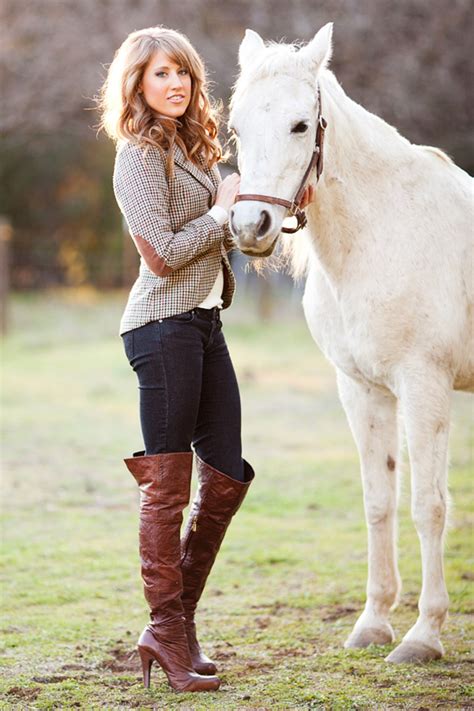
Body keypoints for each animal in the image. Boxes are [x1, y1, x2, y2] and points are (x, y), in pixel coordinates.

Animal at [228, 23, 473, 664]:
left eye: (300, 125)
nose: (250, 227)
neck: (384, 230)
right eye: (235, 127)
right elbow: (378, 501)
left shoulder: (424, 386)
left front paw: (423, 635)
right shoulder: (361, 388)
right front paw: (374, 622)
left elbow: (428, 505)